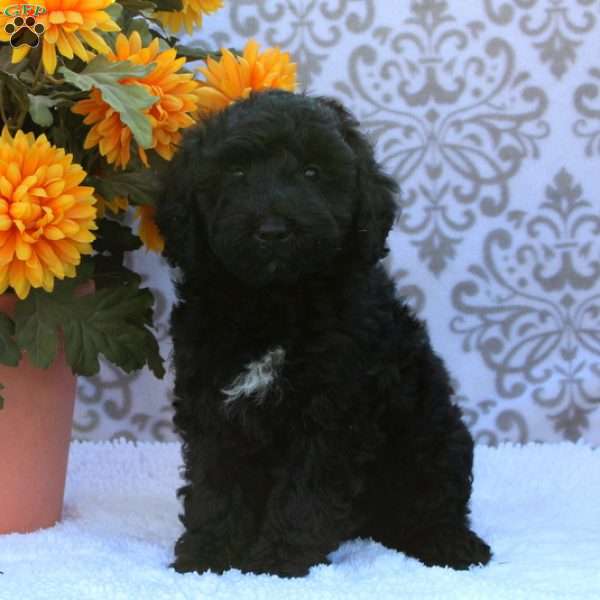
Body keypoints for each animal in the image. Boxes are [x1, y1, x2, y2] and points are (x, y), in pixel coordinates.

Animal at [156, 89, 492, 576]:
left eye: (312, 173)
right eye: (236, 172)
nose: (273, 230)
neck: (275, 302)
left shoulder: (333, 408)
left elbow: (305, 491)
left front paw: (277, 561)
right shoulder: (211, 400)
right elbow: (216, 482)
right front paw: (208, 553)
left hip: (432, 431)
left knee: (435, 497)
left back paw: (451, 544)